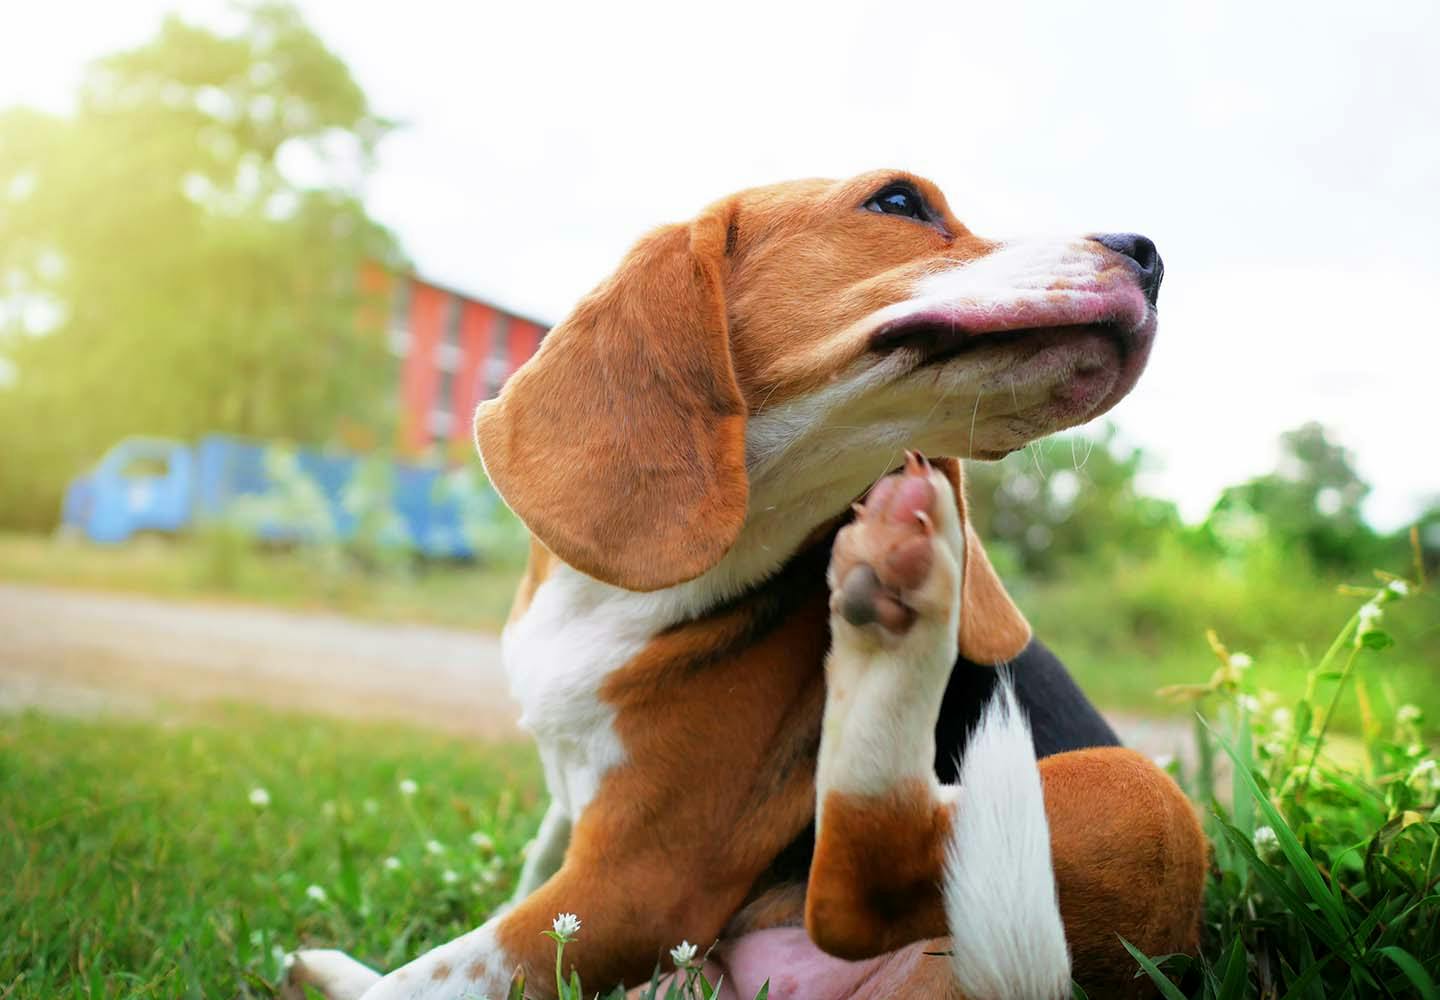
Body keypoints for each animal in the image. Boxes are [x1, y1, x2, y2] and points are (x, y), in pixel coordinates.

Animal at [280, 172, 1203, 1000]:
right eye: (900, 201)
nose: (1151, 255)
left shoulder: (637, 886)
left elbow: (433, 976)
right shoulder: (572, 821)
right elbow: (515, 888)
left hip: (1143, 797)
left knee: (862, 889)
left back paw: (899, 630)